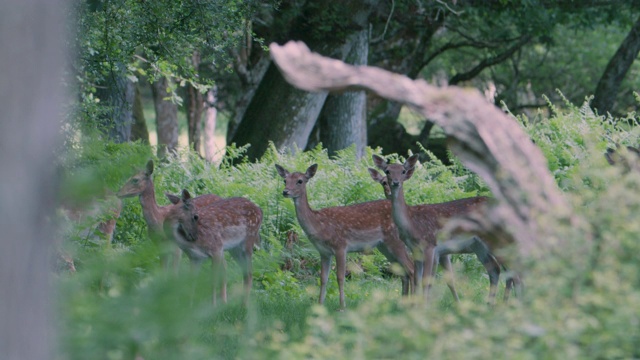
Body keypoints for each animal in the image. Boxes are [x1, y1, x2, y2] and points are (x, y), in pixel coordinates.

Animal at [276, 163, 424, 310]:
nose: (285, 191)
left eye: (300, 181)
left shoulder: (340, 245)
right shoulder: (324, 252)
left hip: (395, 240)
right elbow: (323, 278)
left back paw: (413, 305)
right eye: (285, 180)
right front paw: (319, 305)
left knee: (411, 268)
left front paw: (342, 307)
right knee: (403, 272)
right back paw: (402, 304)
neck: (319, 225)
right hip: (384, 246)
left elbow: (340, 277)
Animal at [372, 153, 512, 302]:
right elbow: (418, 280)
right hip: (479, 246)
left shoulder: (430, 245)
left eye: (403, 171)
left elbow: (427, 281)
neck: (411, 223)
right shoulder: (416, 250)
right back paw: (493, 303)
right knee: (496, 269)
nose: (395, 182)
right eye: (387, 171)